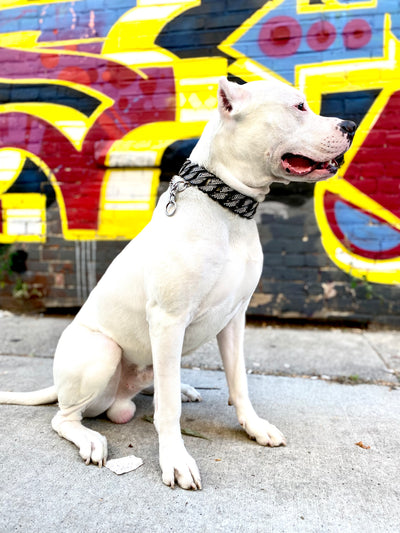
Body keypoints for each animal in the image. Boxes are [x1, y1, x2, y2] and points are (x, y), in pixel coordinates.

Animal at [0, 77, 356, 488]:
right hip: (102, 351)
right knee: (65, 417)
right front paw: (175, 459)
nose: (350, 125)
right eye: (298, 107)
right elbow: (167, 411)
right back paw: (90, 438)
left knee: (155, 383)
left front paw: (253, 426)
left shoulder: (234, 318)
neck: (229, 210)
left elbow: (238, 381)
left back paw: (180, 388)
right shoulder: (169, 320)